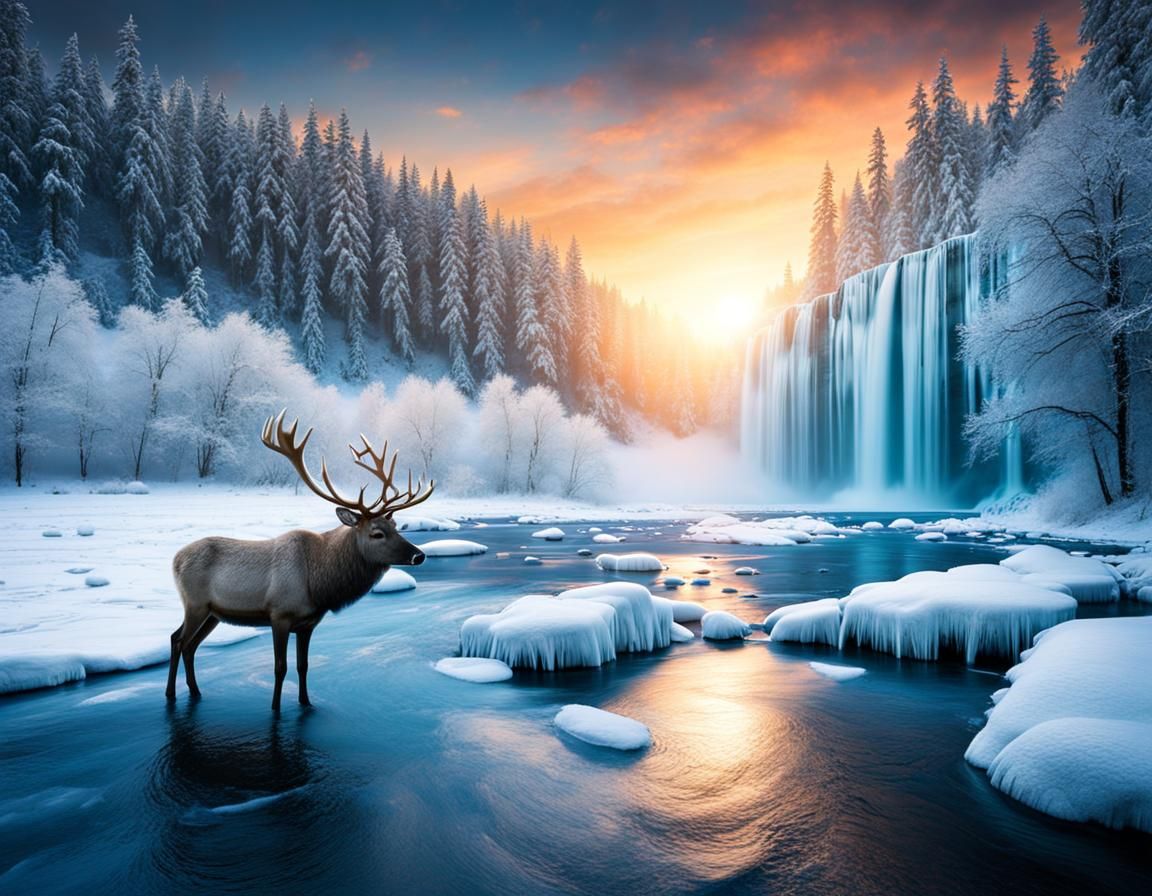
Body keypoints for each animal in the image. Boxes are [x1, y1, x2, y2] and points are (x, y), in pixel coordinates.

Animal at [166, 410, 434, 712]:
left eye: (396, 526)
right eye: (377, 533)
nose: (419, 555)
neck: (320, 584)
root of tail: (175, 559)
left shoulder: (308, 623)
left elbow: (303, 666)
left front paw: (306, 704)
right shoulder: (279, 614)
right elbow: (280, 667)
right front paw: (275, 709)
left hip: (213, 613)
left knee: (189, 644)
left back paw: (195, 691)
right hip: (195, 604)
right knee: (178, 640)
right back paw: (171, 694)